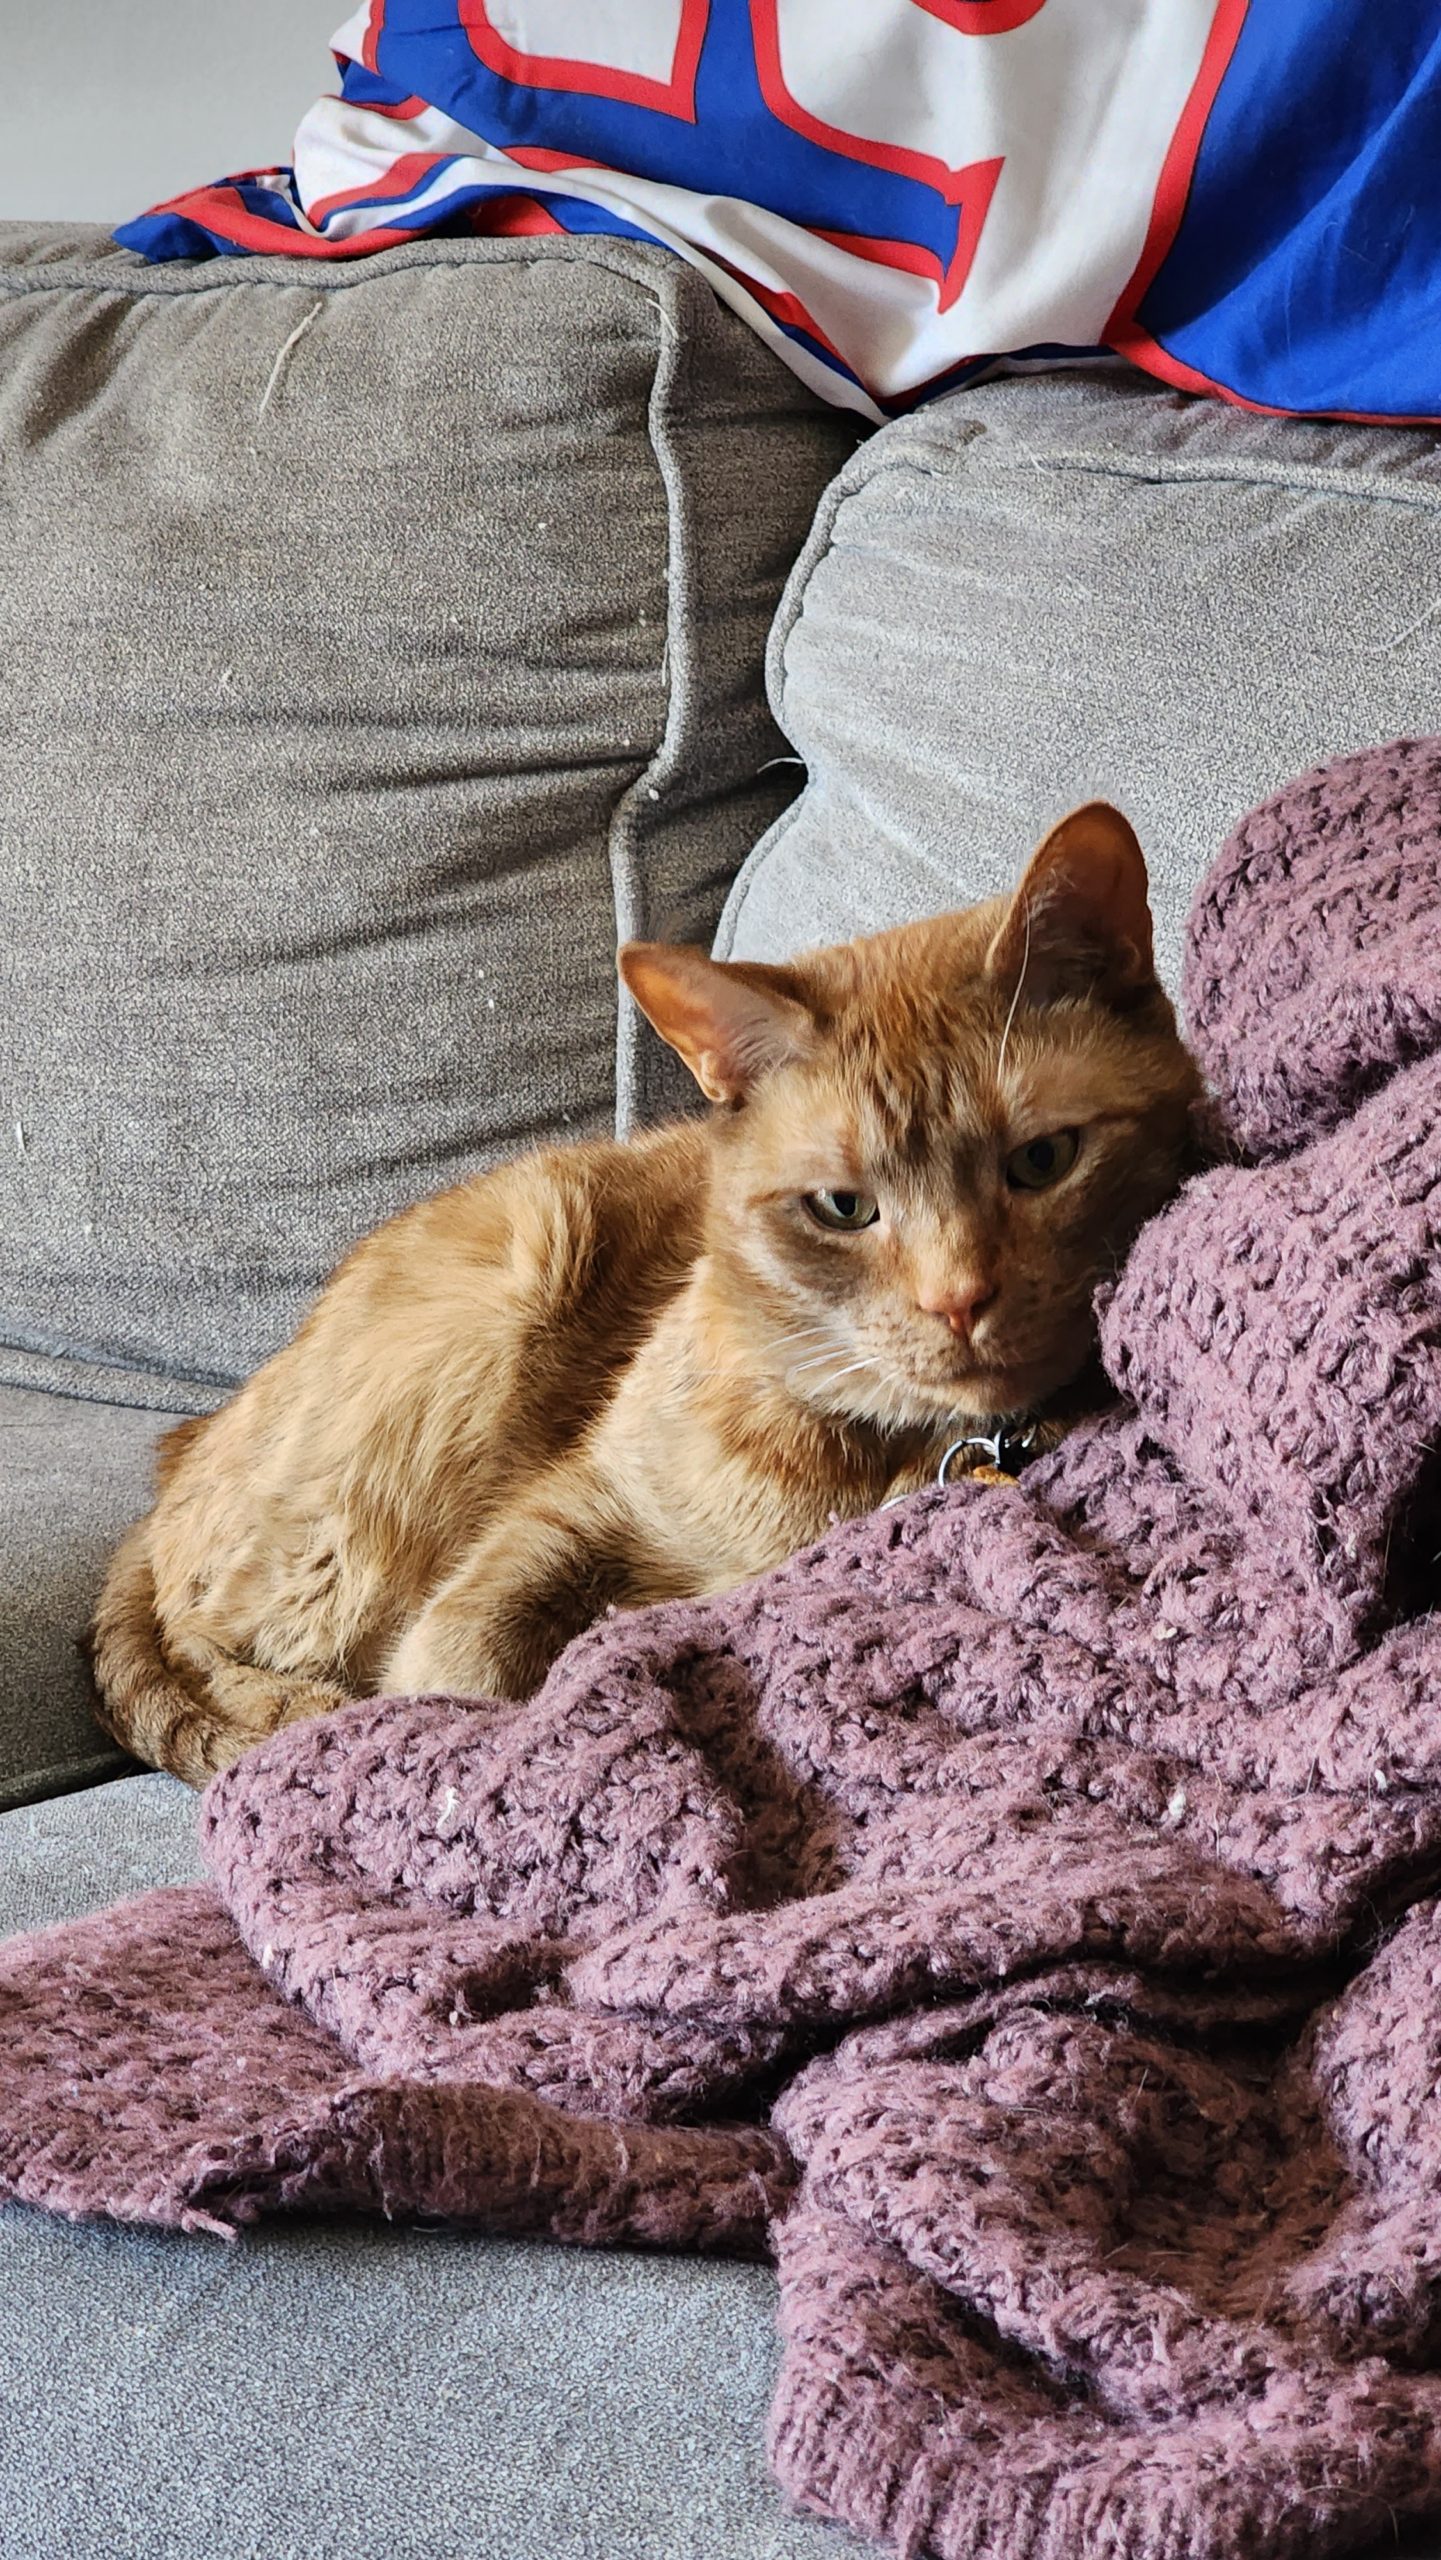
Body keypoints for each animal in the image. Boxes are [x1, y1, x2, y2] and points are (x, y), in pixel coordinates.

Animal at [87, 798, 1197, 1781]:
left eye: (1042, 1160)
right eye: (842, 1207)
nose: (956, 1298)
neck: (880, 1457)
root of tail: (193, 1437)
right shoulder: (575, 1501)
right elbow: (459, 1656)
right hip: (497, 1299)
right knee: (211, 1643)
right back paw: (297, 1705)